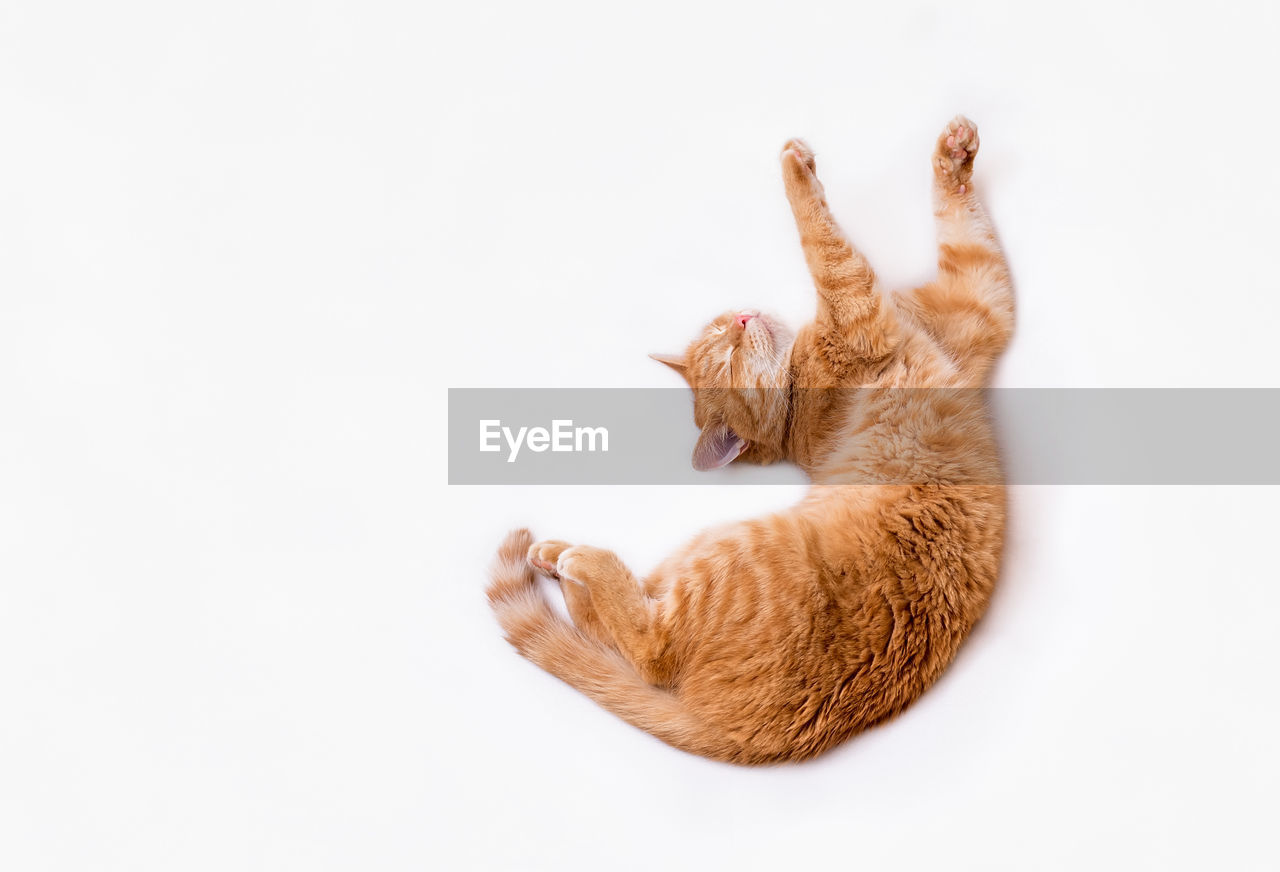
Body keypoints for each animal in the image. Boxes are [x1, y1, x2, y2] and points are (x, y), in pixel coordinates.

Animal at [483, 117, 1013, 763]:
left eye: (721, 339)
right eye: (727, 357)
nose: (739, 320)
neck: (799, 398)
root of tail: (733, 732)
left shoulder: (979, 301)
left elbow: (963, 226)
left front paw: (954, 156)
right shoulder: (864, 311)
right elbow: (824, 242)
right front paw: (794, 168)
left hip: (696, 555)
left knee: (624, 620)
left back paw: (558, 558)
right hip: (729, 550)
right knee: (651, 648)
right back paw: (578, 561)